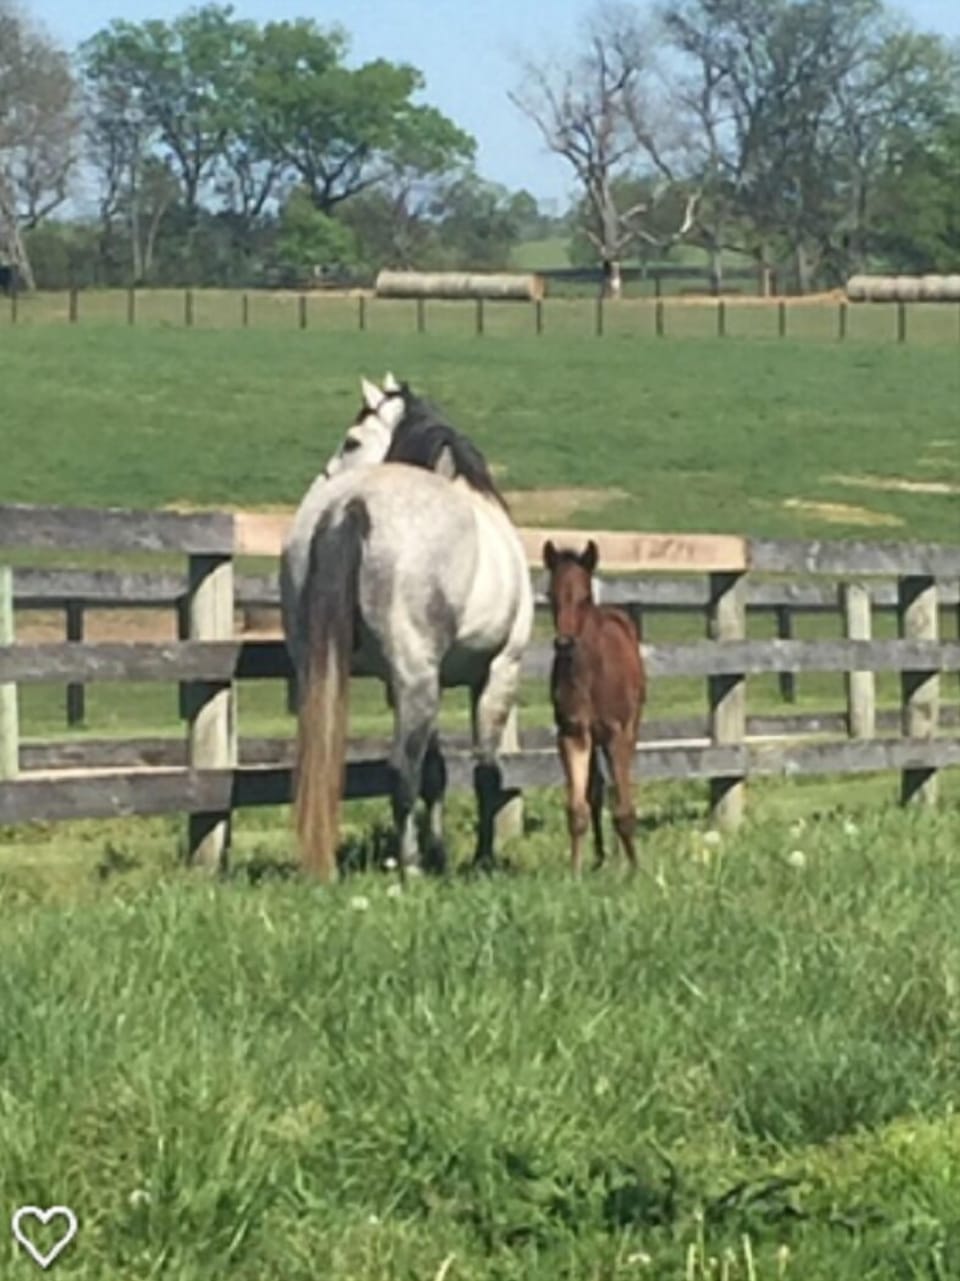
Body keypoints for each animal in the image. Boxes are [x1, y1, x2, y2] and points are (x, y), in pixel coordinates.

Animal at [280, 374, 533, 882]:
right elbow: (485, 773)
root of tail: (349, 505)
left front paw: (441, 853)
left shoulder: (408, 684)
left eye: (351, 441)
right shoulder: (498, 670)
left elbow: (436, 772)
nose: (320, 479)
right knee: (401, 769)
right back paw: (410, 868)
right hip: (419, 677)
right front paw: (480, 859)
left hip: (332, 668)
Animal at [543, 539, 646, 876]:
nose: (564, 644)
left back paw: (620, 860)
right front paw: (574, 874)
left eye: (585, 597)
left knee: (615, 788)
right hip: (595, 739)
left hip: (629, 729)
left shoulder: (617, 733)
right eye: (550, 595)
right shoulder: (573, 732)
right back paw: (602, 858)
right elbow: (578, 807)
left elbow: (624, 806)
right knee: (598, 790)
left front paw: (634, 870)